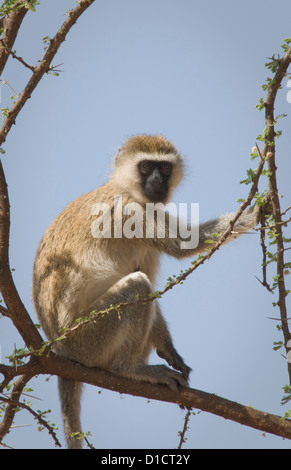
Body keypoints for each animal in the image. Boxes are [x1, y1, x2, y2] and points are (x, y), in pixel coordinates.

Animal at [32, 135, 260, 448]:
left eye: (163, 168)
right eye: (145, 166)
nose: (157, 181)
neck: (123, 187)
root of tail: (57, 349)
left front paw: (170, 350)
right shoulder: (133, 212)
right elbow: (184, 244)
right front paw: (262, 208)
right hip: (85, 341)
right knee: (138, 286)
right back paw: (128, 370)